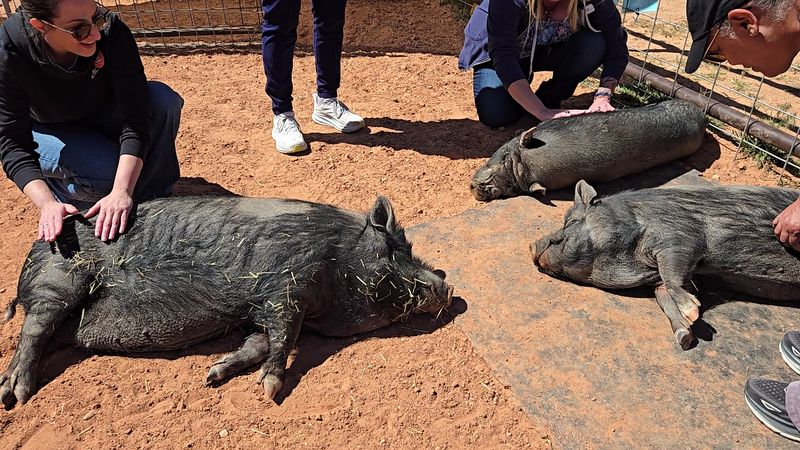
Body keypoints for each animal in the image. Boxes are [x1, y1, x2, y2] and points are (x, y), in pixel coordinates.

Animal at [0, 196, 453, 409]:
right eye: (396, 249)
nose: (447, 285)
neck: (338, 259)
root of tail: (33, 253)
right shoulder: (286, 286)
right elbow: (283, 339)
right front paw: (270, 390)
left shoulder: (266, 309)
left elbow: (259, 342)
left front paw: (212, 375)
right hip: (58, 281)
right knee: (33, 328)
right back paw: (18, 396)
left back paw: (7, 391)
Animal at [532, 180, 800, 350]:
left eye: (571, 222)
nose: (532, 245)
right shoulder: (666, 276)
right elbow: (663, 297)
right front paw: (685, 337)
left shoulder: (680, 235)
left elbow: (672, 275)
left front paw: (692, 311)